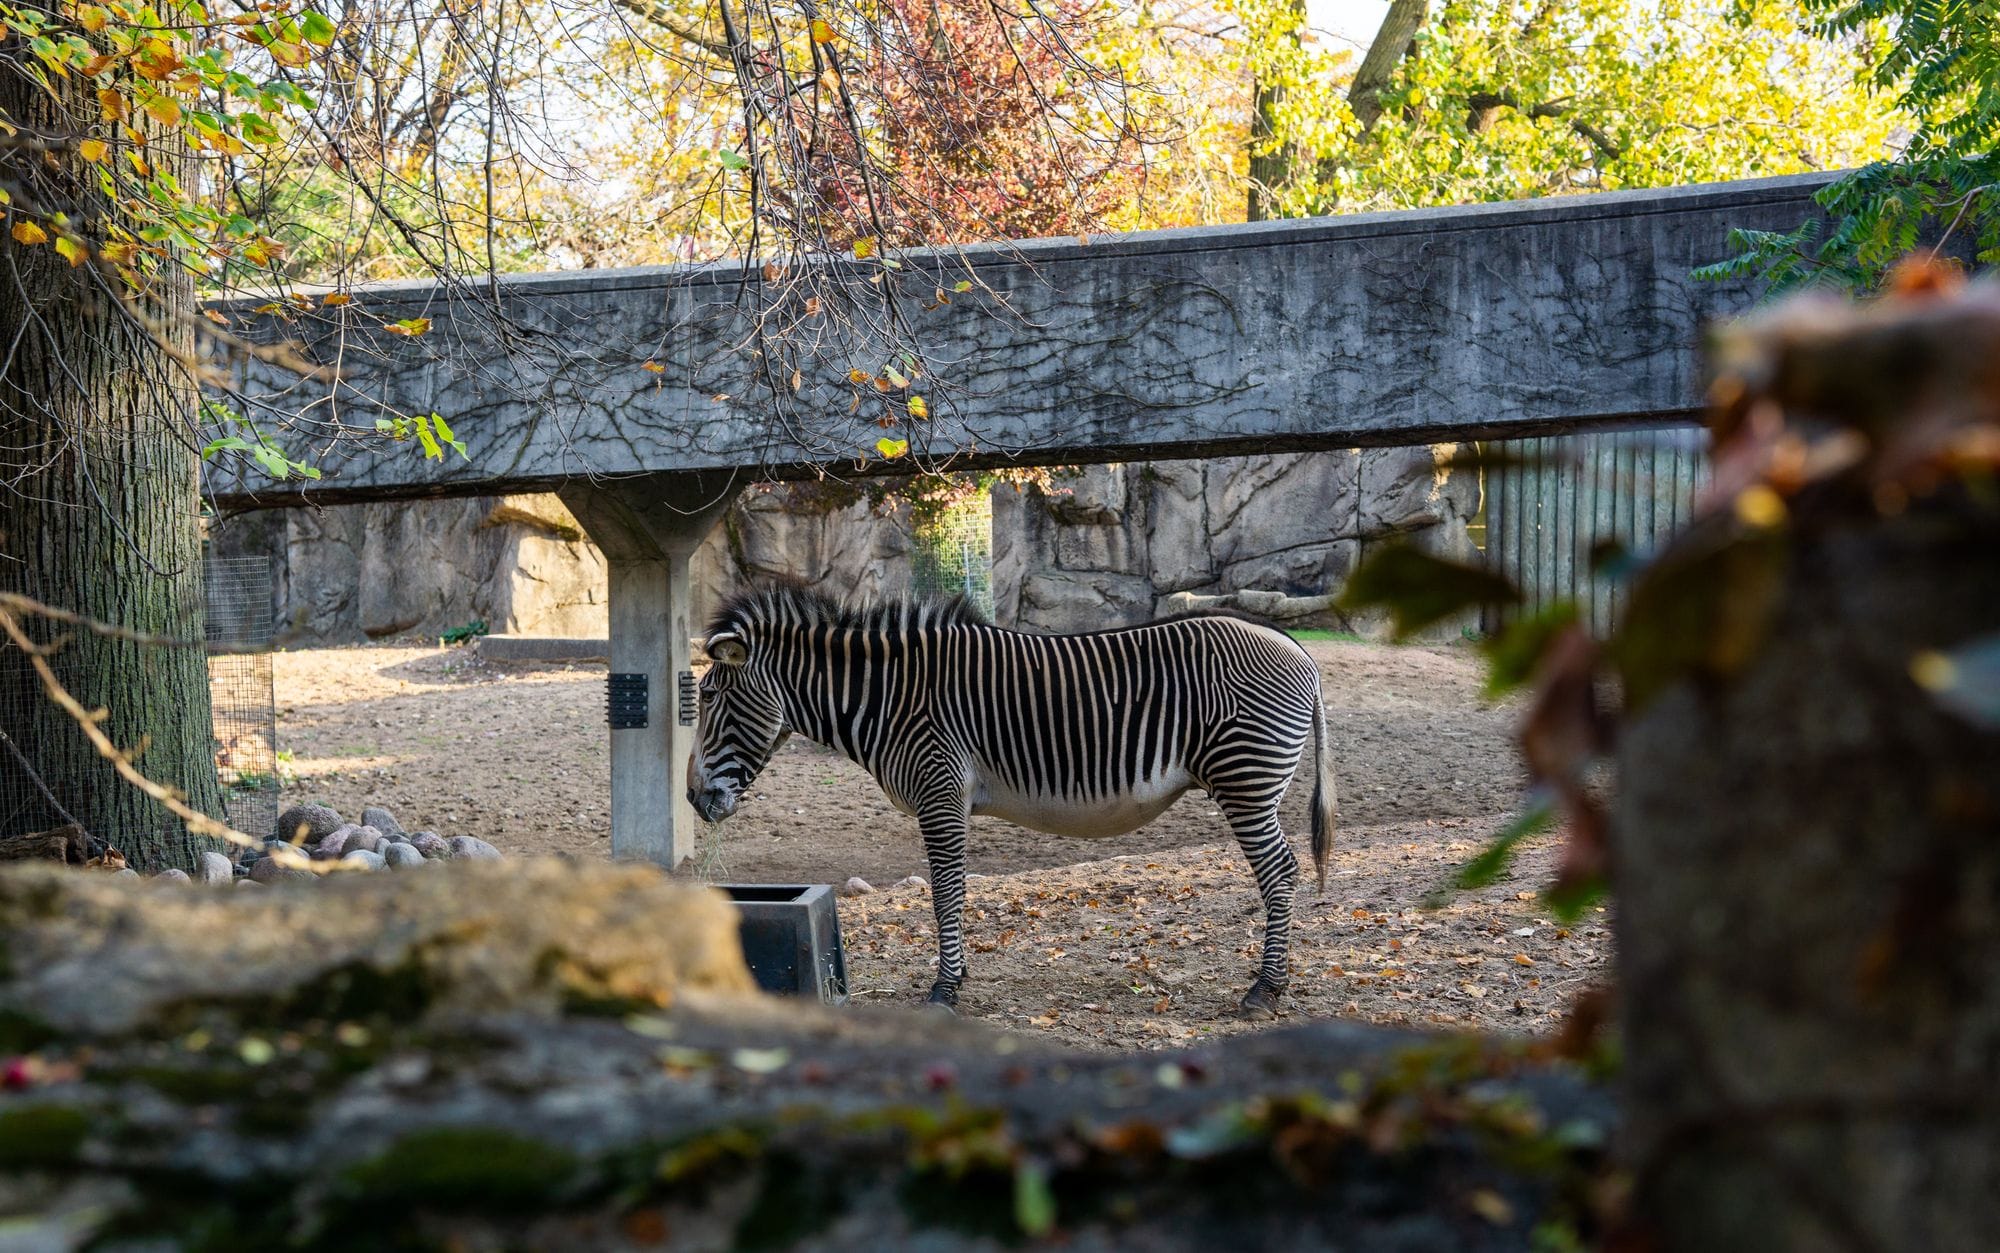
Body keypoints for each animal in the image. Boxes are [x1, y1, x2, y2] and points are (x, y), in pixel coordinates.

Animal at [687, 582, 1337, 1018]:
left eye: (711, 696)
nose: (694, 799)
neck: (890, 697)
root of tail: (1293, 644)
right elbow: (952, 891)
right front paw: (957, 977)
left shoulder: (940, 791)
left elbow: (947, 891)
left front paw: (945, 989)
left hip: (1246, 779)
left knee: (1280, 873)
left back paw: (1265, 990)